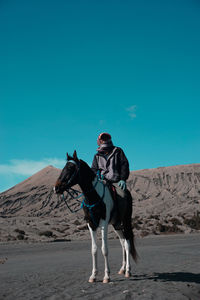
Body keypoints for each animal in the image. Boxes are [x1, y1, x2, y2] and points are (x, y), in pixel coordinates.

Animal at [54, 151, 138, 282]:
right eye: (63, 167)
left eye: (71, 168)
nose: (56, 187)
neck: (94, 196)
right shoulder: (91, 224)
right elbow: (94, 249)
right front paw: (93, 275)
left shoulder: (103, 223)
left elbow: (104, 249)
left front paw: (106, 276)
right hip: (116, 224)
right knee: (123, 242)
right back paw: (122, 269)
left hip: (126, 221)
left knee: (128, 243)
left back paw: (128, 271)